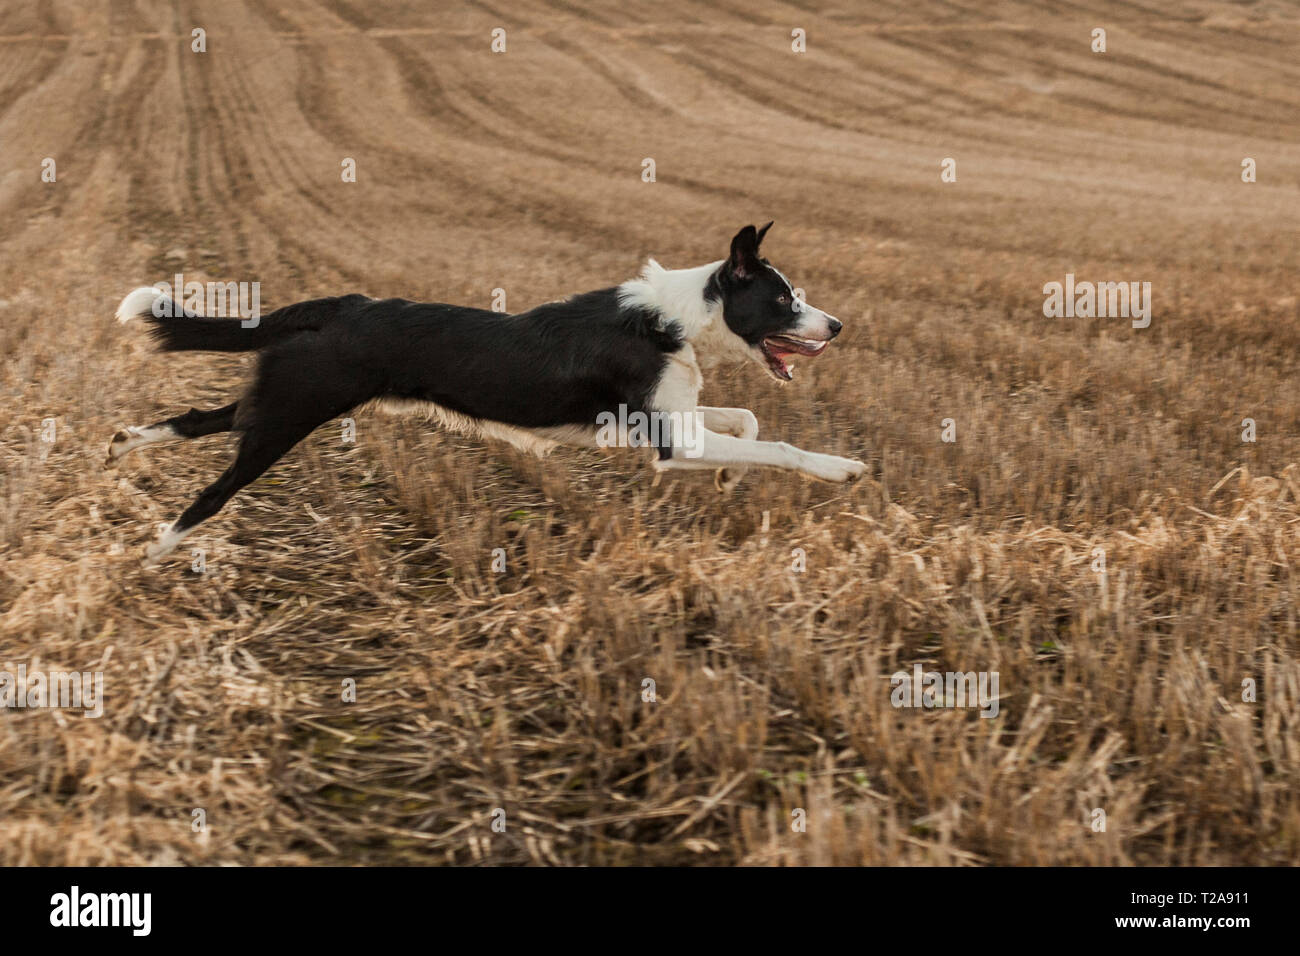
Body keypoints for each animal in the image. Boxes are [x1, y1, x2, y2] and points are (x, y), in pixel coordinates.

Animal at [111, 223, 863, 561]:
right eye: (785, 300)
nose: (837, 325)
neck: (675, 320)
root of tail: (340, 305)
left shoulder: (669, 422)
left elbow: (748, 418)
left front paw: (733, 480)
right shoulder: (670, 443)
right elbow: (783, 446)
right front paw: (841, 469)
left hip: (280, 399)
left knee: (200, 418)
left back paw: (125, 445)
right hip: (290, 416)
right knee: (215, 488)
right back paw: (157, 549)